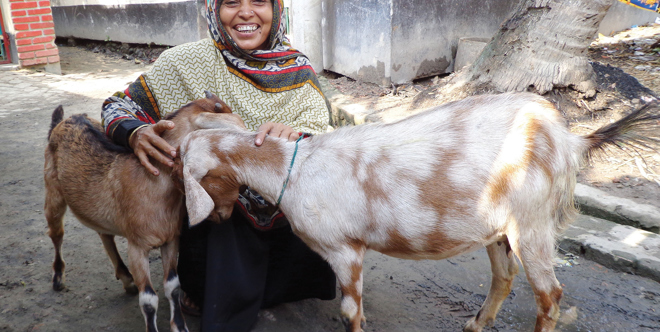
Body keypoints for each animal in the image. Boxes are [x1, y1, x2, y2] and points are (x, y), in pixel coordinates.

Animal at [43, 92, 245, 332]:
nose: (226, 213)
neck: (152, 186)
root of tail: (65, 119)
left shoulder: (171, 239)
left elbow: (173, 286)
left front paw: (180, 326)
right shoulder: (137, 246)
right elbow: (149, 299)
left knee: (104, 233)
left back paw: (127, 279)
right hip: (52, 191)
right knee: (56, 233)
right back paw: (58, 279)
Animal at [173, 92, 656, 332]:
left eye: (186, 174)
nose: (217, 219)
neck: (296, 170)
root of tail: (570, 139)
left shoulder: (344, 249)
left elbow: (350, 312)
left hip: (532, 223)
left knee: (550, 295)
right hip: (498, 227)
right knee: (505, 276)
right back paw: (473, 326)